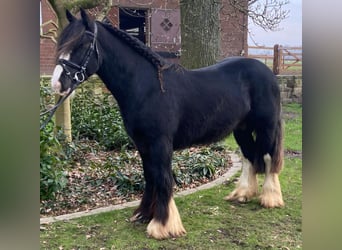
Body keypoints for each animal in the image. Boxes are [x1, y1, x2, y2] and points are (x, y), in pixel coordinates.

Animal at [52, 9, 284, 239]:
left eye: (82, 44)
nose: (57, 83)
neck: (148, 87)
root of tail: (267, 72)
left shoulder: (160, 143)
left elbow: (163, 179)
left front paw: (162, 225)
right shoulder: (143, 144)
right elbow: (150, 177)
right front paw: (144, 214)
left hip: (266, 126)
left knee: (267, 157)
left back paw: (270, 198)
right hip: (241, 129)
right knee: (249, 156)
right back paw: (242, 194)